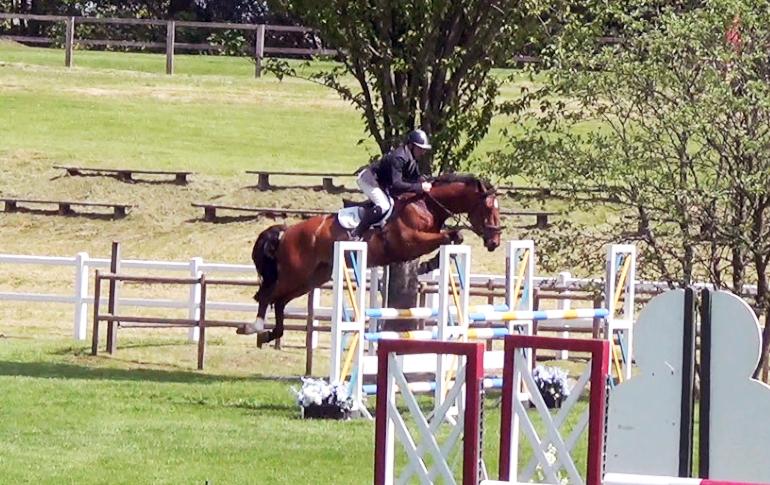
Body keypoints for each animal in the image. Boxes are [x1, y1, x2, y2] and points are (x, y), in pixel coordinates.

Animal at [240, 172, 504, 346]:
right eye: (489, 209)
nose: (495, 242)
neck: (425, 204)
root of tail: (286, 232)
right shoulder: (410, 241)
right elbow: (451, 235)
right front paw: (427, 264)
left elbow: (452, 238)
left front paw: (428, 265)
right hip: (295, 274)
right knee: (267, 296)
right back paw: (253, 327)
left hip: (312, 278)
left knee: (279, 301)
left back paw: (270, 334)